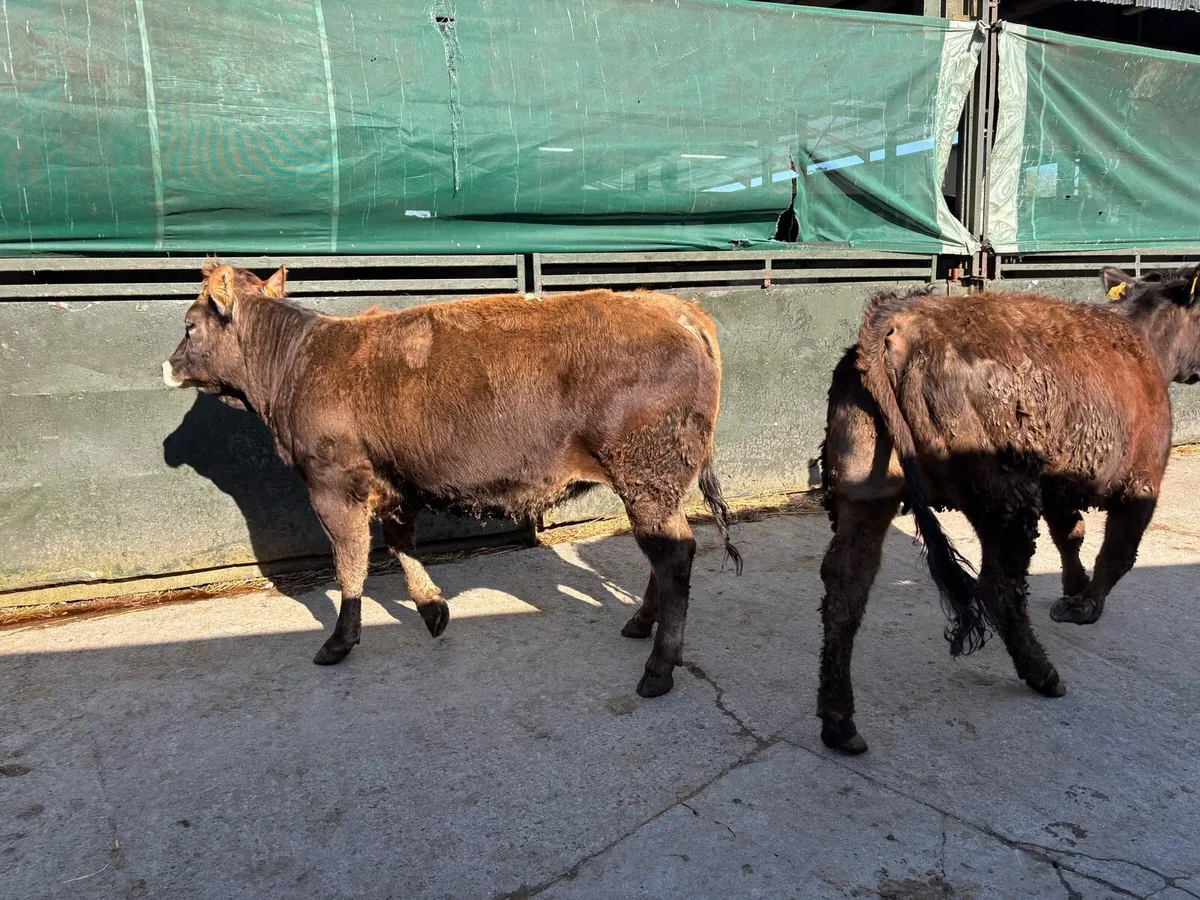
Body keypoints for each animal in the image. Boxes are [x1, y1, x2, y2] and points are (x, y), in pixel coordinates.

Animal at [163, 264, 741, 697]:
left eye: (190, 325)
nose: (168, 365)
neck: (299, 360)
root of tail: (675, 308)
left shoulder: (332, 485)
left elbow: (350, 564)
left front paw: (338, 642)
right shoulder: (397, 484)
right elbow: (399, 544)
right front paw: (432, 608)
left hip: (645, 473)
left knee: (673, 557)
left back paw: (659, 667)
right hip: (654, 485)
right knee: (664, 553)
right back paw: (641, 624)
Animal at [817, 265, 1200, 754]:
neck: (1143, 339)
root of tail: (901, 316)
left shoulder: (1059, 484)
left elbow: (1070, 535)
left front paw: (1074, 588)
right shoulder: (1142, 482)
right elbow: (1116, 553)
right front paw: (1085, 605)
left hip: (866, 486)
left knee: (847, 581)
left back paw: (839, 721)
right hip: (1005, 496)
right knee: (999, 585)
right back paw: (1043, 673)